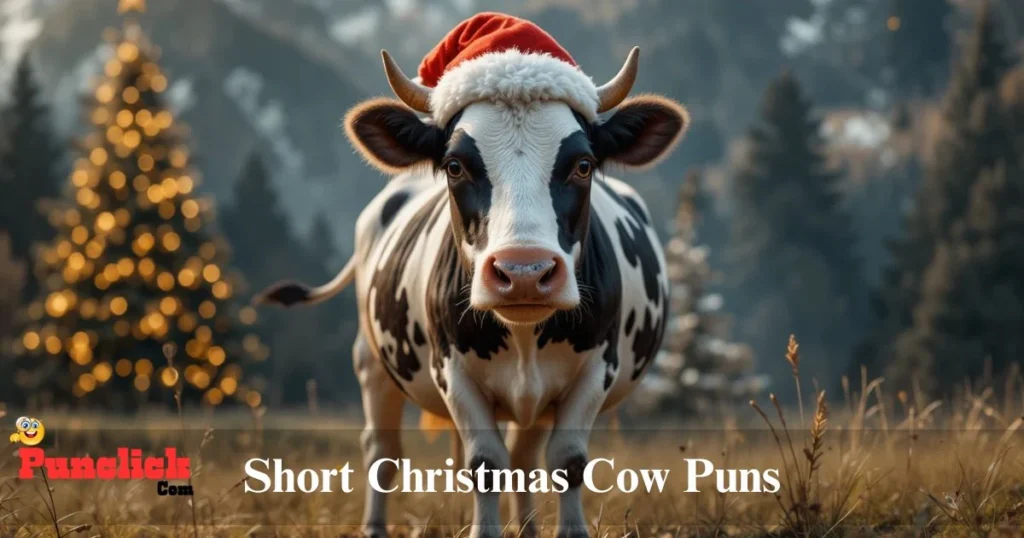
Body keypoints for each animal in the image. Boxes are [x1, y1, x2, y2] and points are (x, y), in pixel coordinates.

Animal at [257, 21, 688, 538]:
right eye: (455, 165)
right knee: (382, 451)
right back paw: (375, 524)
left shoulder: (597, 367)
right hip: (372, 363)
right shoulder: (453, 370)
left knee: (523, 456)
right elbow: (484, 463)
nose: (525, 272)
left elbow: (566, 461)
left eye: (583, 165)